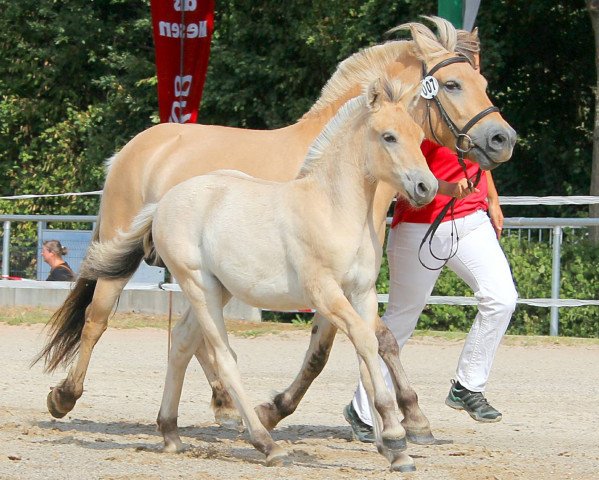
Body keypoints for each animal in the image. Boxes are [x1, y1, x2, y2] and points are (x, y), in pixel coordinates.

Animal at [36, 15, 516, 428]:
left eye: (483, 82)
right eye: (452, 84)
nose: (502, 138)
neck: (340, 171)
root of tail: (132, 150)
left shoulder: (340, 284)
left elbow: (332, 352)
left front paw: (280, 410)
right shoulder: (325, 281)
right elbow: (377, 338)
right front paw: (410, 415)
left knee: (200, 335)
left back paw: (226, 403)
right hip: (127, 261)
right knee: (98, 318)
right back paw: (64, 397)